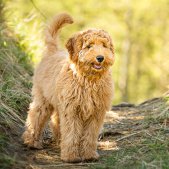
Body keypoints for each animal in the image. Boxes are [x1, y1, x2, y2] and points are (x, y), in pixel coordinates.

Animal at [22, 12, 115, 162]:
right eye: (89, 46)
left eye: (104, 45)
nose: (100, 58)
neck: (88, 80)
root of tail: (53, 52)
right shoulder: (71, 110)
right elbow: (72, 133)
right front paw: (71, 156)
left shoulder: (96, 112)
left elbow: (90, 134)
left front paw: (89, 155)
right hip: (43, 99)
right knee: (35, 115)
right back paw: (32, 141)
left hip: (58, 102)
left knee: (55, 121)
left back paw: (58, 141)